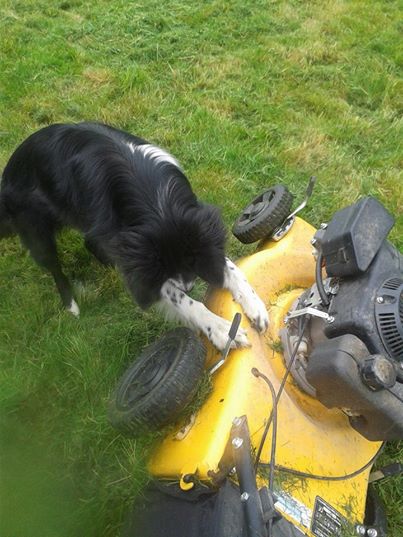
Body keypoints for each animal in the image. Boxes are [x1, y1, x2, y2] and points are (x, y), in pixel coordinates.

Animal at [1, 124, 270, 352]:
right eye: (164, 265)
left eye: (192, 260)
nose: (190, 286)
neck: (158, 203)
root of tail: (8, 172)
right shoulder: (143, 260)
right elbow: (182, 300)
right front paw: (222, 330)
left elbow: (231, 268)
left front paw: (254, 304)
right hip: (36, 230)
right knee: (55, 268)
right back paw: (71, 305)